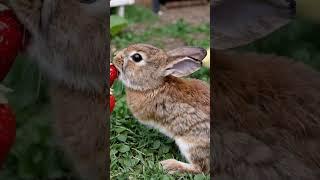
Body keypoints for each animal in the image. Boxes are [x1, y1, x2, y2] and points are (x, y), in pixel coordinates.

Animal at [112, 43, 210, 174]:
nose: (115, 57)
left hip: (191, 144)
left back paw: (168, 165)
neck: (153, 86)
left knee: (201, 169)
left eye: (137, 57)